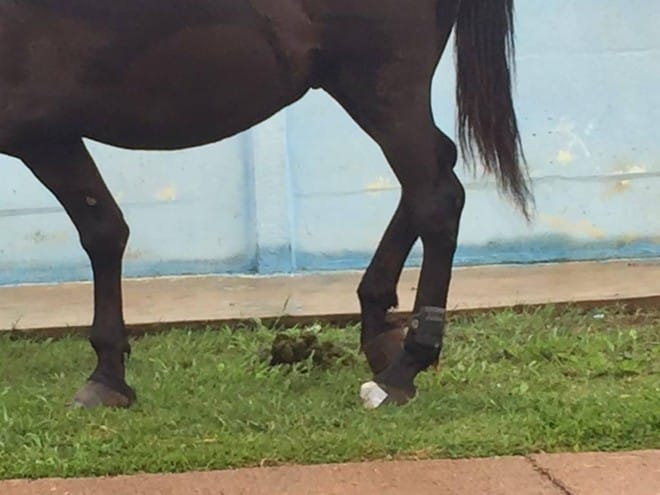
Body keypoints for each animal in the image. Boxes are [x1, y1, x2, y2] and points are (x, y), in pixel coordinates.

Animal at [0, 0, 530, 409]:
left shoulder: (44, 136)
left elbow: (104, 231)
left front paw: (107, 376)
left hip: (382, 89)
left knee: (436, 197)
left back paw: (401, 372)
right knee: (432, 174)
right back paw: (379, 327)